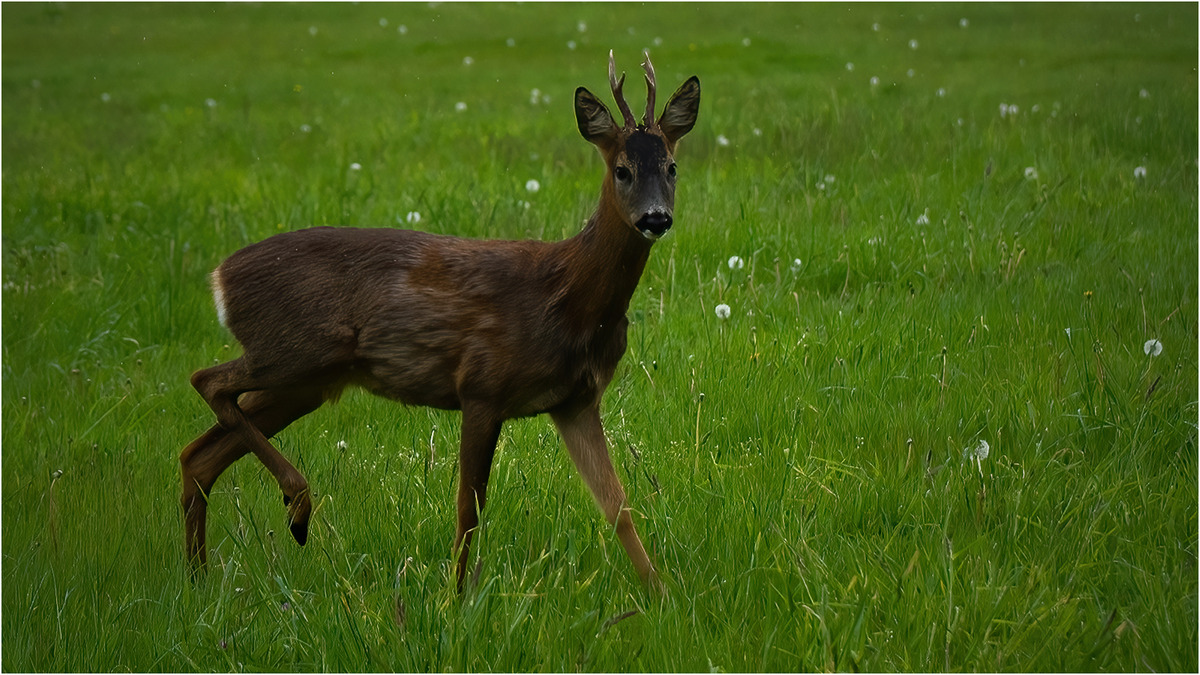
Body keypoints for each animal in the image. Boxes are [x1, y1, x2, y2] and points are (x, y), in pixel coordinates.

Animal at [180, 51, 700, 588]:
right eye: (622, 170)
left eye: (672, 167)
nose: (656, 218)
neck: (568, 298)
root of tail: (219, 277)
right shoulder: (482, 385)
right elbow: (468, 511)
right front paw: (455, 596)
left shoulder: (575, 401)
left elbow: (618, 507)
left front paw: (661, 595)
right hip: (293, 350)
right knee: (207, 381)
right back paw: (296, 507)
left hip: (306, 382)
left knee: (199, 454)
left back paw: (200, 578)